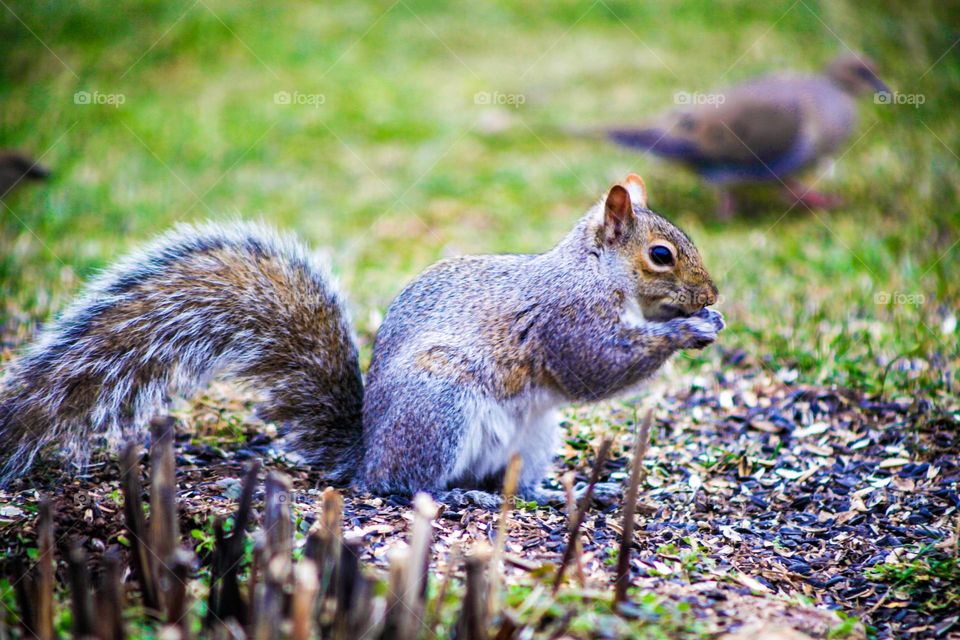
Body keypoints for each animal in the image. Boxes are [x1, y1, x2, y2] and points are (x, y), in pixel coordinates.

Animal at [0, 174, 723, 507]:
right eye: (661, 255)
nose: (712, 296)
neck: (595, 272)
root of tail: (367, 452)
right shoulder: (564, 317)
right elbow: (593, 365)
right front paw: (686, 329)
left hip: (534, 434)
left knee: (508, 480)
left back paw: (553, 492)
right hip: (440, 410)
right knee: (406, 485)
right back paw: (450, 493)